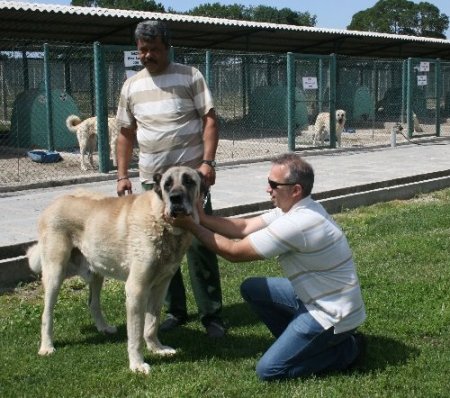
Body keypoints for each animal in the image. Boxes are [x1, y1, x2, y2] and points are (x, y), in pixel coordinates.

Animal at [27, 166, 202, 374]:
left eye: (189, 181)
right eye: (167, 184)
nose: (175, 198)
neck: (161, 221)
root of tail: (52, 203)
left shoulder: (160, 286)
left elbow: (151, 324)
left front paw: (157, 348)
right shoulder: (136, 289)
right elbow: (135, 334)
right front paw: (137, 364)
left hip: (96, 271)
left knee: (93, 303)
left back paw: (104, 328)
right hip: (55, 272)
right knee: (47, 313)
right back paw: (47, 346)